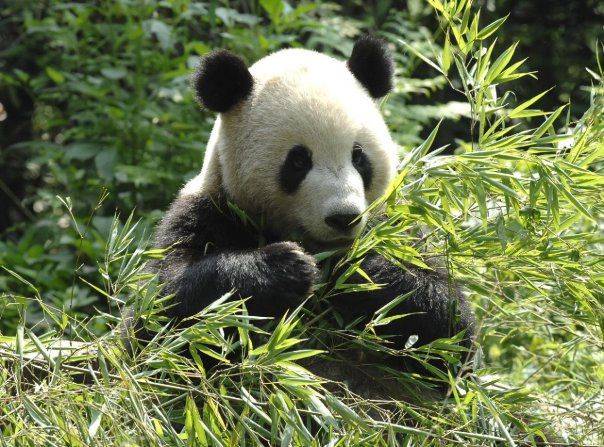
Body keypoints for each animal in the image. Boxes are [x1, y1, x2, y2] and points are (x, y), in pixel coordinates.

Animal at [149, 36, 474, 378]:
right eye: (298, 160)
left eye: (358, 156)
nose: (345, 218)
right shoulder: (208, 212)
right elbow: (168, 314)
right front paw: (283, 269)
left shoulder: (398, 228)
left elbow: (449, 327)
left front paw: (360, 271)